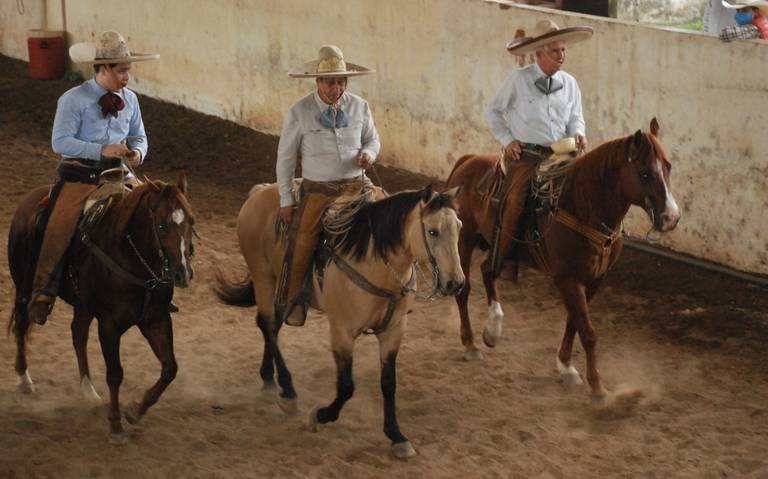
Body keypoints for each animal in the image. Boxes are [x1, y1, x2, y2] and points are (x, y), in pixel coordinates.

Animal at [8, 174, 195, 440]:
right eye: (161, 226)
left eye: (191, 220)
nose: (183, 274)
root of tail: (29, 199)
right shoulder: (109, 325)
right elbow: (115, 374)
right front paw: (115, 424)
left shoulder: (156, 318)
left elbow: (170, 368)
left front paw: (135, 410)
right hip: (23, 287)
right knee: (23, 325)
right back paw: (24, 379)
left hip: (82, 304)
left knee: (78, 333)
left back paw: (88, 390)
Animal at [213, 183, 462, 458]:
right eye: (433, 231)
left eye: (459, 227)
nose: (456, 283)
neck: (376, 263)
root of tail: (260, 191)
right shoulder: (342, 331)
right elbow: (346, 387)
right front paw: (319, 416)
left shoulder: (394, 330)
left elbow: (388, 383)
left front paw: (397, 436)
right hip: (263, 278)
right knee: (267, 324)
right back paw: (288, 391)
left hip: (281, 286)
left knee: (272, 327)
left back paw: (268, 379)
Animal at [448, 119, 680, 402]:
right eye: (645, 173)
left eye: (668, 166)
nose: (671, 217)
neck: (581, 205)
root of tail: (468, 160)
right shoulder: (567, 279)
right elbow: (588, 332)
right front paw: (597, 386)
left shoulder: (593, 280)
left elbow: (574, 322)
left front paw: (566, 367)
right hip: (464, 239)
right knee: (465, 288)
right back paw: (470, 344)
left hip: (494, 243)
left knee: (487, 271)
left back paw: (492, 330)